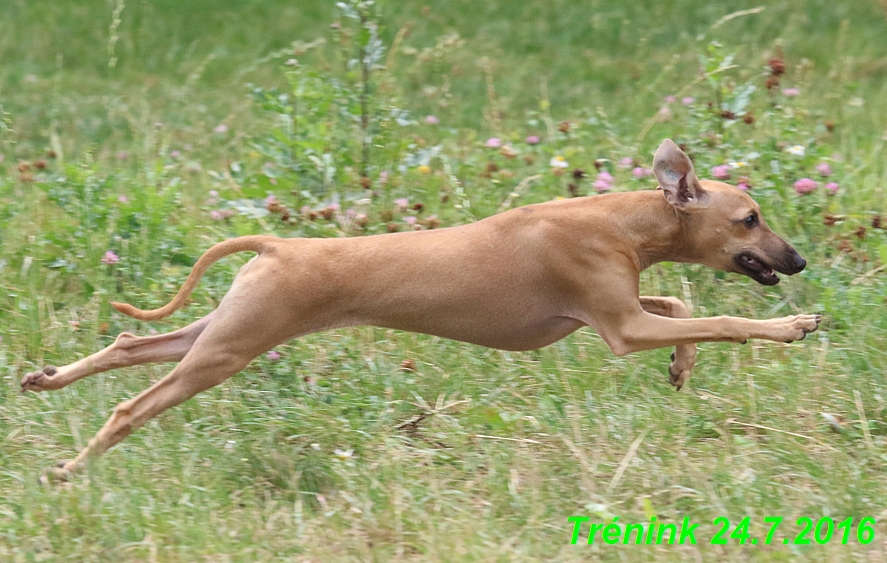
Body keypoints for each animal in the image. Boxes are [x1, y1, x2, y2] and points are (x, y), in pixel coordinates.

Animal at [20, 139, 824, 478]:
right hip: (228, 349)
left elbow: (680, 299)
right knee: (131, 406)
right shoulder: (621, 327)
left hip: (217, 331)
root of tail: (278, 243)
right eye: (751, 218)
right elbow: (721, 319)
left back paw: (45, 378)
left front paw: (682, 366)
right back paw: (69, 468)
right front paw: (790, 326)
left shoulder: (614, 309)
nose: (798, 262)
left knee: (128, 345)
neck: (618, 219)